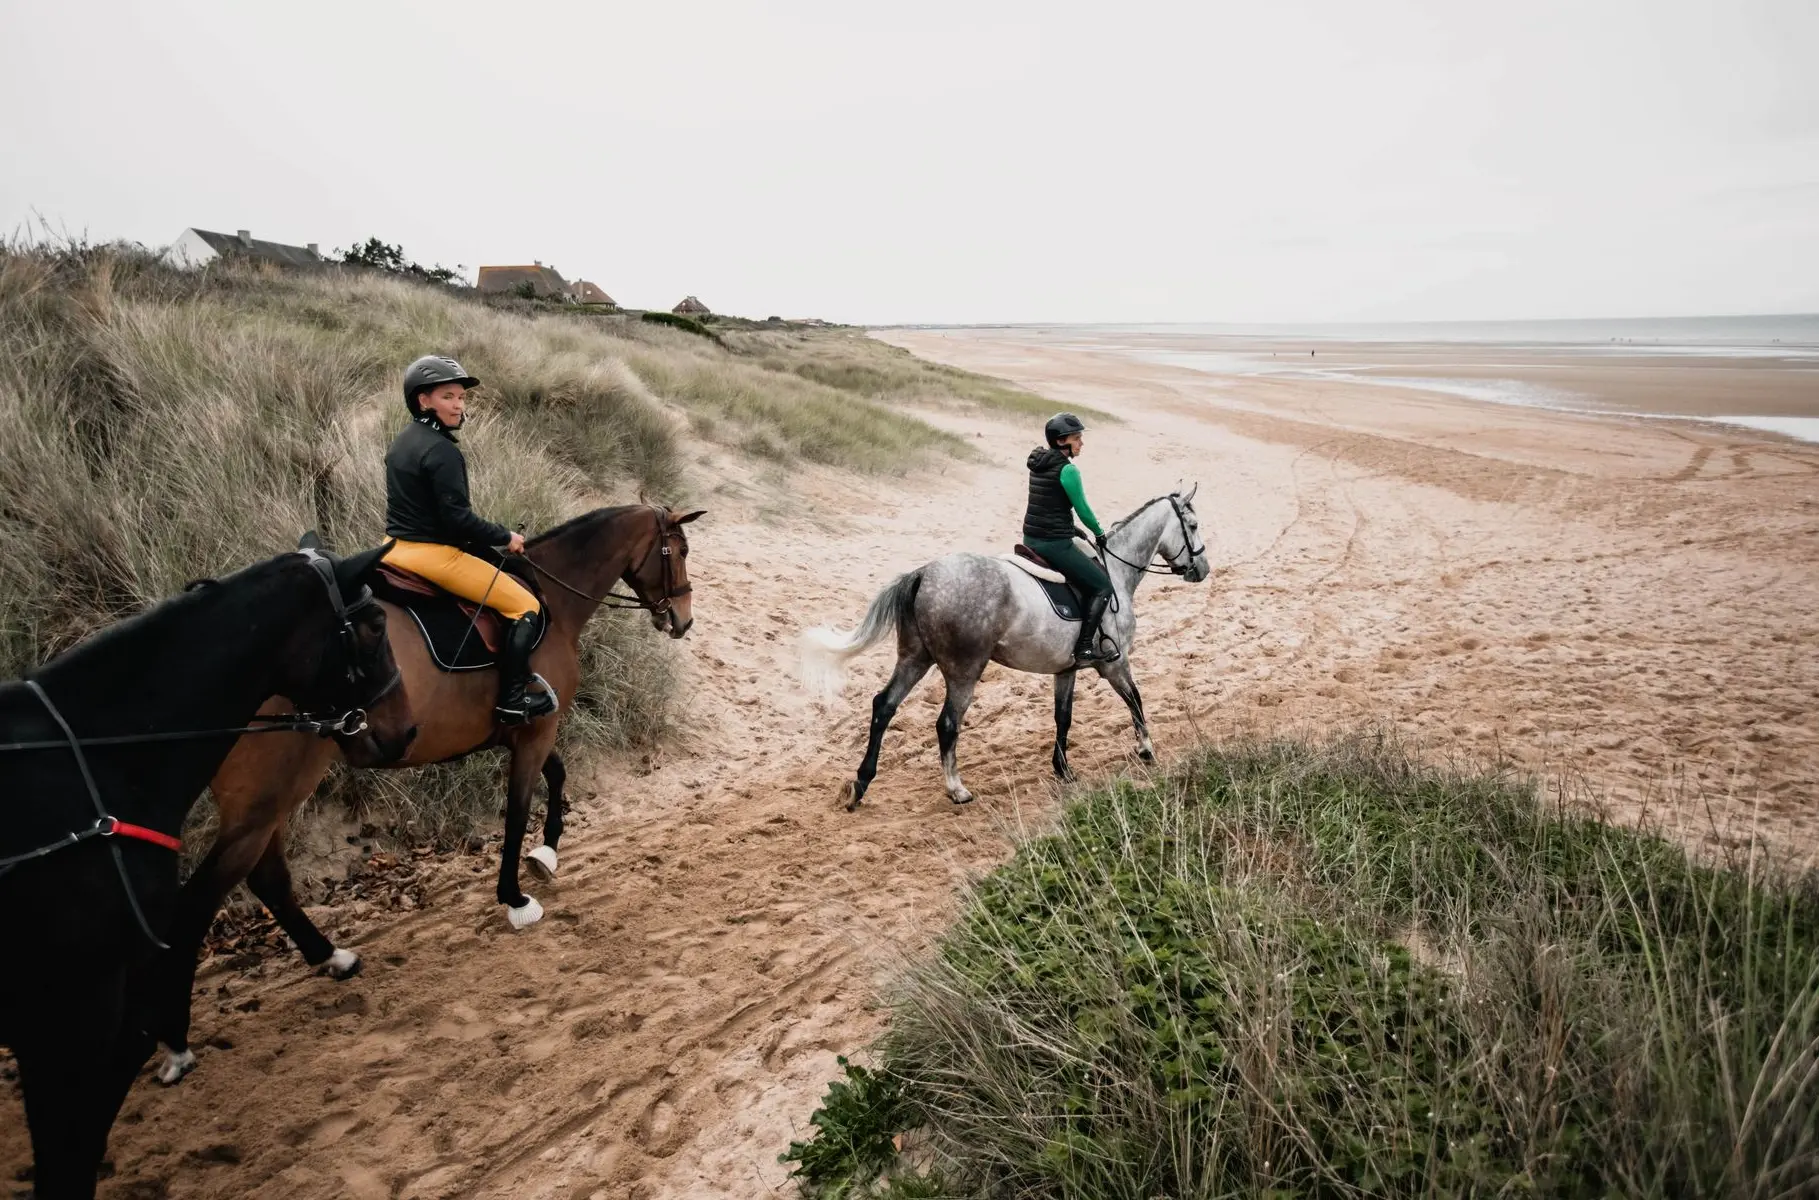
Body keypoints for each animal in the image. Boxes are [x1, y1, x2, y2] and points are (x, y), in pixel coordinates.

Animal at [145, 504, 702, 1087]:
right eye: (681, 550)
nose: (683, 620)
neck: (552, 597)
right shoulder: (535, 731)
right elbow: (519, 810)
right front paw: (515, 897)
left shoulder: (526, 732)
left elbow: (558, 777)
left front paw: (547, 853)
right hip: (271, 793)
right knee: (201, 903)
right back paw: (177, 1043)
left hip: (266, 800)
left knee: (267, 879)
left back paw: (332, 958)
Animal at [803, 488, 1209, 809]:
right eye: (1192, 525)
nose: (1202, 569)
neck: (1116, 572)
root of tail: (925, 574)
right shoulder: (1115, 663)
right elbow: (1136, 700)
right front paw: (1146, 749)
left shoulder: (1066, 670)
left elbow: (1063, 717)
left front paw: (1063, 770)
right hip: (964, 670)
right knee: (946, 723)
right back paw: (956, 790)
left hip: (915, 659)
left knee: (884, 706)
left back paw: (861, 784)